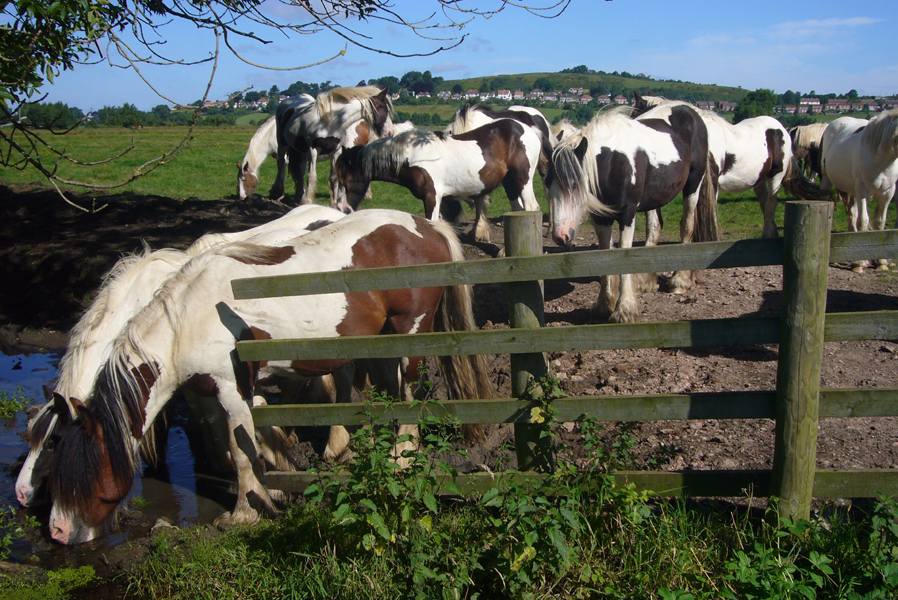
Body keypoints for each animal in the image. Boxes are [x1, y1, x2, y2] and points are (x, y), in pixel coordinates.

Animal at [333, 120, 547, 243]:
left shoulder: (432, 197)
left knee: (531, 207)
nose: (342, 208)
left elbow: (434, 223)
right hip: (510, 183)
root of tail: (528, 130)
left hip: (522, 179)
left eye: (346, 178)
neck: (413, 156)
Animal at [545, 104, 718, 323]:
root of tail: (690, 110)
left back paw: (680, 280)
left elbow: (624, 255)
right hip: (654, 199)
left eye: (575, 185)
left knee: (686, 225)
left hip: (693, 186)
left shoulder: (627, 215)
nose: (560, 236)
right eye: (548, 184)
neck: (613, 161)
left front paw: (624, 310)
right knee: (655, 228)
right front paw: (603, 306)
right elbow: (605, 255)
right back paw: (646, 281)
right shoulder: (601, 219)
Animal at [632, 94, 825, 238]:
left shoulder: (711, 182)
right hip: (759, 181)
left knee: (771, 205)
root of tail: (781, 129)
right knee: (765, 205)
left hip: (775, 176)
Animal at [821, 109, 898, 272]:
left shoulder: (887, 193)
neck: (882, 159)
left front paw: (881, 262)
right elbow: (863, 221)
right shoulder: (862, 192)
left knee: (851, 214)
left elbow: (880, 222)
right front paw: (860, 263)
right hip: (827, 180)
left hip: (851, 190)